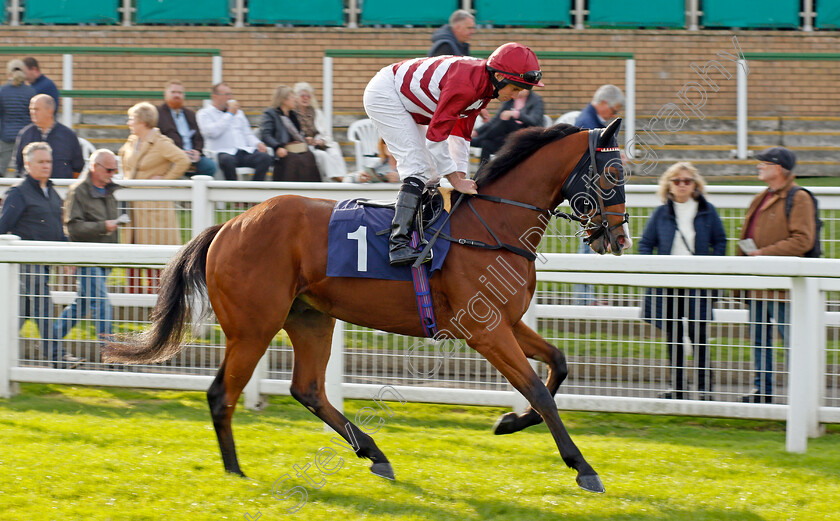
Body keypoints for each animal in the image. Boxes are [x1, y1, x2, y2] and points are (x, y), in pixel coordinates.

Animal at [103, 117, 632, 492]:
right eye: (612, 172)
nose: (619, 237)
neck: (491, 227)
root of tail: (228, 226)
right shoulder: (484, 331)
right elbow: (538, 390)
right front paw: (583, 467)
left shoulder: (508, 322)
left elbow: (557, 366)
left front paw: (507, 423)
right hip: (254, 327)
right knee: (221, 394)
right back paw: (235, 471)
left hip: (311, 319)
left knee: (308, 389)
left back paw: (374, 453)